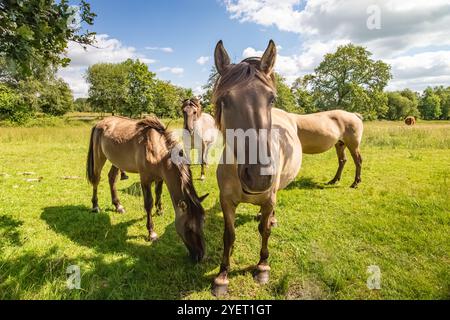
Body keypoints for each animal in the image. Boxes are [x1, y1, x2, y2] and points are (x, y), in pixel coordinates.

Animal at [85, 116, 208, 262]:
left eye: (203, 222)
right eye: (189, 228)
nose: (200, 255)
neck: (156, 150)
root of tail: (100, 123)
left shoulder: (160, 178)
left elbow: (158, 193)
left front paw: (159, 210)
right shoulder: (145, 180)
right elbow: (148, 203)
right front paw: (151, 233)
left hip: (116, 161)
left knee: (112, 179)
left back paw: (118, 205)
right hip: (99, 157)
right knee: (96, 180)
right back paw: (95, 206)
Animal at [211, 40, 302, 298]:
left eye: (271, 99)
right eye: (225, 100)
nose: (259, 178)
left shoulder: (269, 198)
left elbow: (264, 231)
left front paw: (262, 266)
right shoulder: (226, 201)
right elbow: (229, 235)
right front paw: (222, 275)